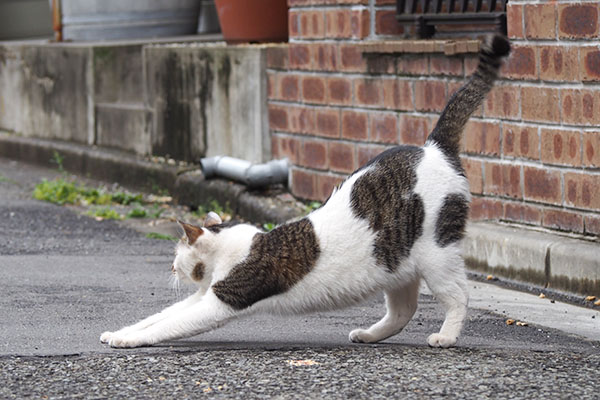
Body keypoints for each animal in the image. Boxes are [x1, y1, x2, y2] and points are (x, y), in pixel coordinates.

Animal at [99, 36, 510, 350]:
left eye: (176, 255)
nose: (169, 267)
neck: (232, 251)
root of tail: (432, 147)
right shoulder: (204, 295)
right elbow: (157, 316)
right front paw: (119, 332)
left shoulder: (223, 299)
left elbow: (168, 325)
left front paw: (130, 341)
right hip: (395, 264)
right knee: (402, 311)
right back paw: (369, 335)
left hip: (436, 254)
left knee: (458, 295)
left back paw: (446, 336)